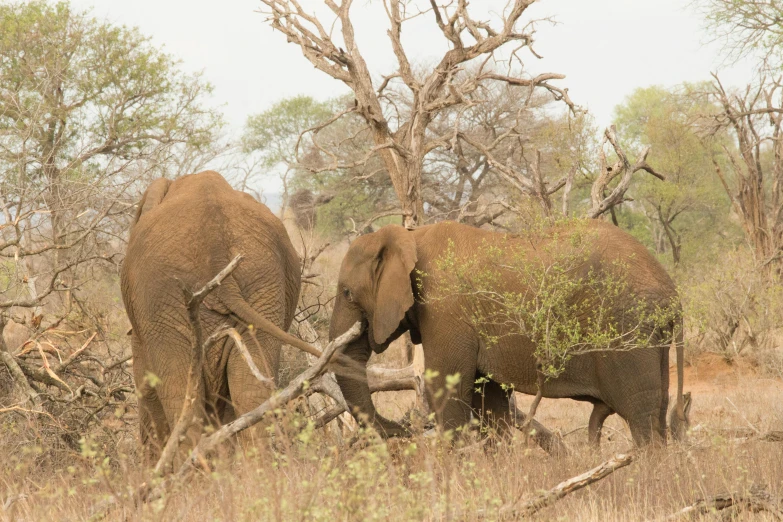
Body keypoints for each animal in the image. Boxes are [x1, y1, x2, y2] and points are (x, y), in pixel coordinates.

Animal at [121, 171, 316, 456]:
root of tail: (216, 248)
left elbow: (146, 385)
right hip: (264, 286)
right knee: (250, 396)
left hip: (160, 298)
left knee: (182, 399)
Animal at [328, 217, 688, 444]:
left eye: (347, 293)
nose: (405, 429)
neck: (410, 236)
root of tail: (671, 290)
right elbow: (490, 403)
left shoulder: (446, 311)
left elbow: (447, 392)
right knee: (657, 410)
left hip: (627, 331)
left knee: (640, 414)